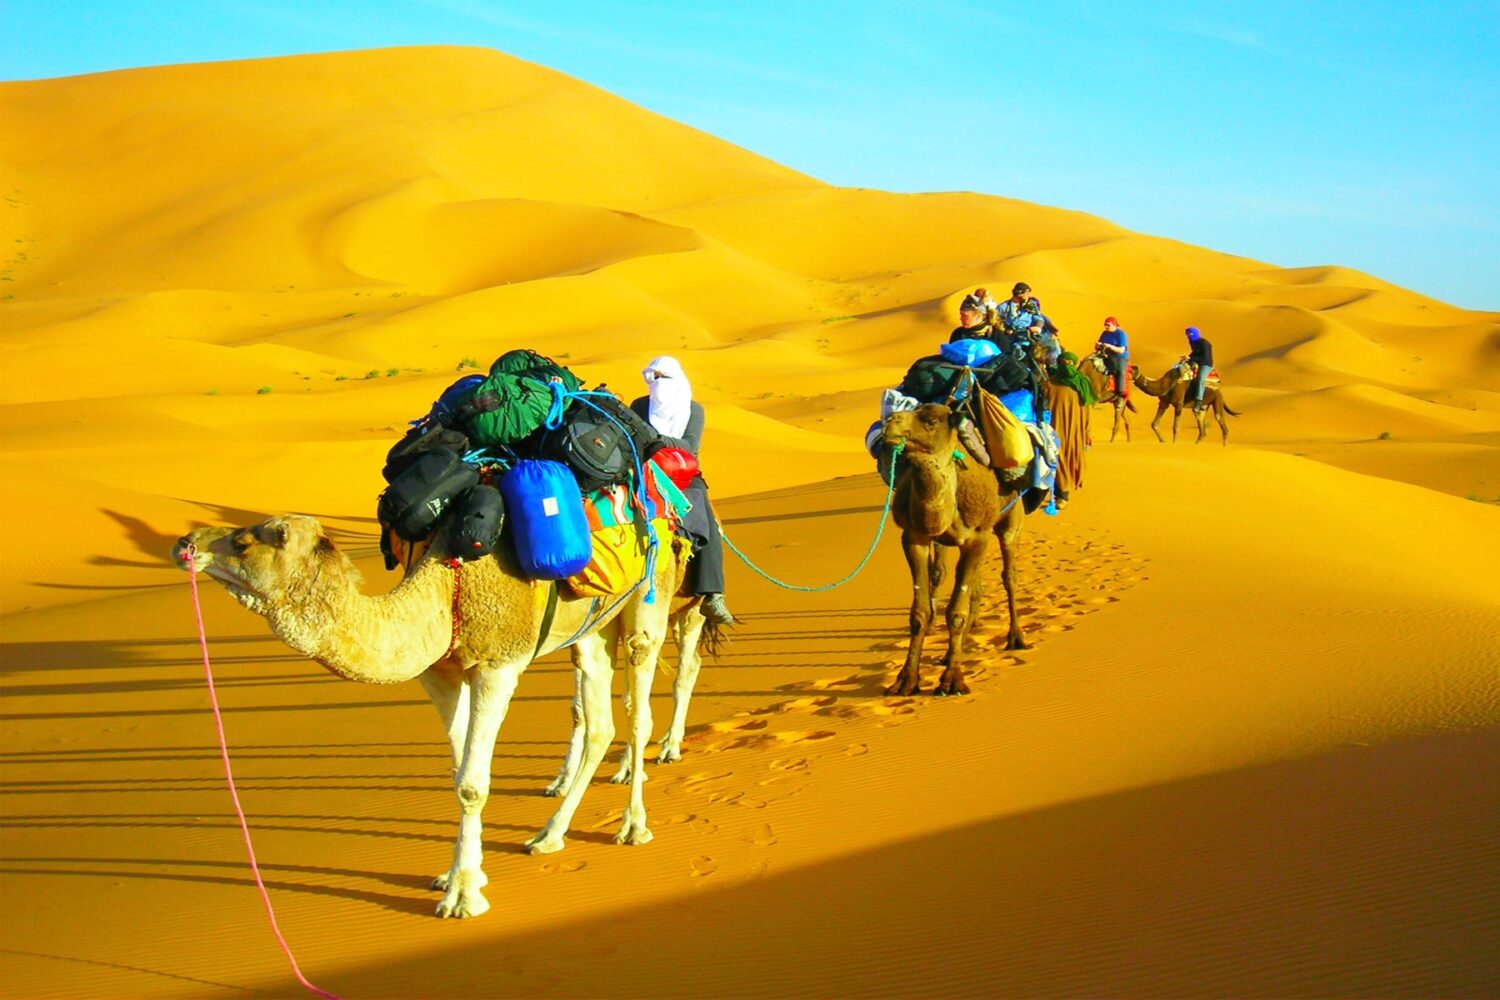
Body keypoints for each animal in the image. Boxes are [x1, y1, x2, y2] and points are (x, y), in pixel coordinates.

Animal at [170, 515, 708, 923]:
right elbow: (457, 773)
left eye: (244, 540)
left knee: (639, 712)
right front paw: (455, 875)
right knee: (599, 724)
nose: (185, 542)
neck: (446, 588)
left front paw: (463, 897)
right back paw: (549, 835)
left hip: (649, 603)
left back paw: (633, 825)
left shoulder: (497, 665)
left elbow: (473, 784)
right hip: (593, 628)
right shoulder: (441, 674)